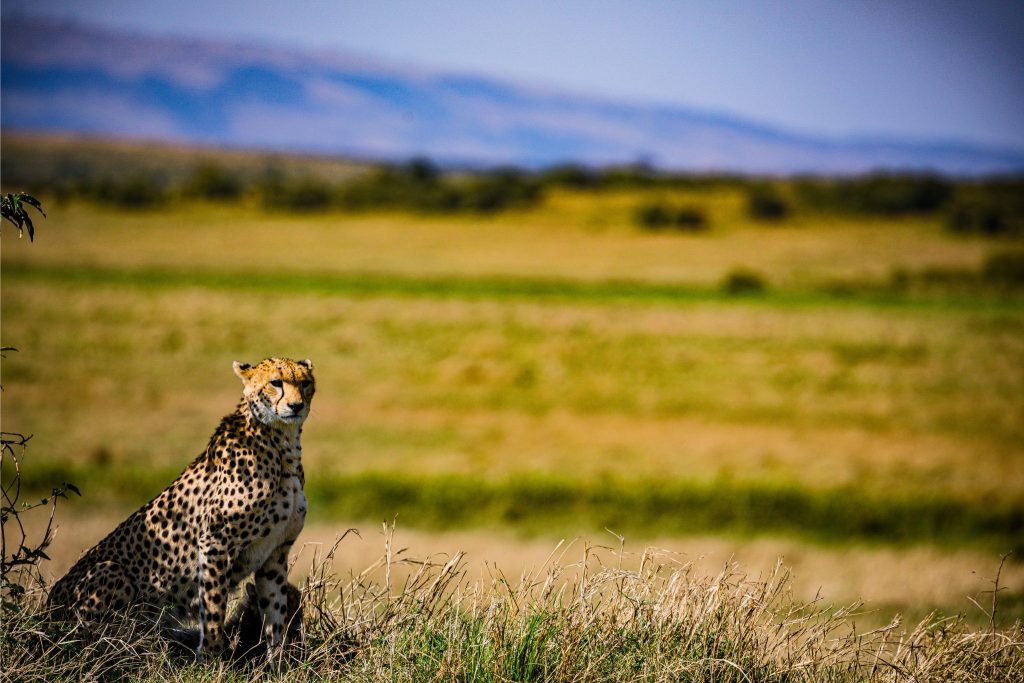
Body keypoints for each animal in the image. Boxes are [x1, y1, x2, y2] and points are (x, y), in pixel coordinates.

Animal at [47, 357, 316, 661]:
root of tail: (45, 610)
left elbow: (275, 614)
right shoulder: (215, 542)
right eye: (275, 383)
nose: (296, 406)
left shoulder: (276, 551)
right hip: (111, 571)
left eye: (305, 383)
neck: (283, 445)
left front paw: (278, 663)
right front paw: (210, 659)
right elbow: (213, 607)